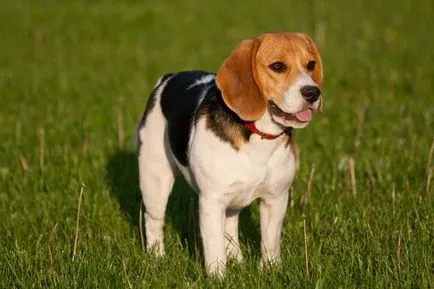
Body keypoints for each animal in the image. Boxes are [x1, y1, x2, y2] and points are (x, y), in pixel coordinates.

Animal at [136, 31, 322, 274]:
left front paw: (270, 270)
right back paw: (156, 257)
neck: (258, 135)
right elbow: (214, 247)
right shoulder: (211, 201)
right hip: (155, 179)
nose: (313, 92)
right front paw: (218, 276)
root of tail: (168, 79)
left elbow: (270, 240)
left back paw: (237, 258)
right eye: (278, 66)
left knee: (231, 224)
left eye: (311, 65)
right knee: (153, 220)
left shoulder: (276, 198)